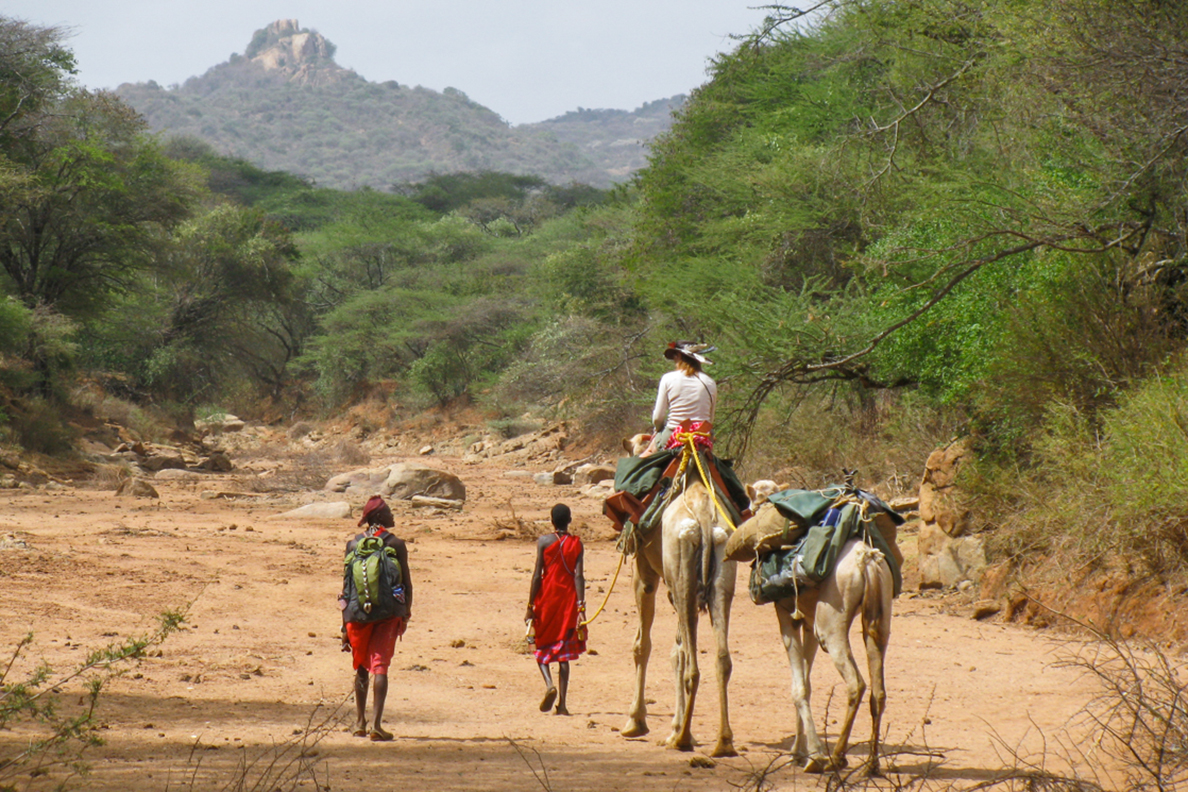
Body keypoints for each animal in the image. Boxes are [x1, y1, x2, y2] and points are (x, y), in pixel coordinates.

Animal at [618, 434, 738, 756]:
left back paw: (682, 738)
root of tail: (704, 521)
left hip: (680, 571)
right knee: (721, 659)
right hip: (717, 575)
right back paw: (723, 742)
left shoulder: (645, 572)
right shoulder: (677, 587)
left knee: (693, 668)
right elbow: (677, 650)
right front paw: (674, 725)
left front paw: (635, 722)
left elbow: (642, 645)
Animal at [773, 536, 893, 775]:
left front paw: (811, 756)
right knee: (879, 691)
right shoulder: (808, 620)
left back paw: (837, 757)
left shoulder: (787, 615)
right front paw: (799, 753)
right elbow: (806, 684)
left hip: (830, 624)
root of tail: (866, 559)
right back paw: (872, 764)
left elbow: (798, 688)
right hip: (881, 619)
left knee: (856, 683)